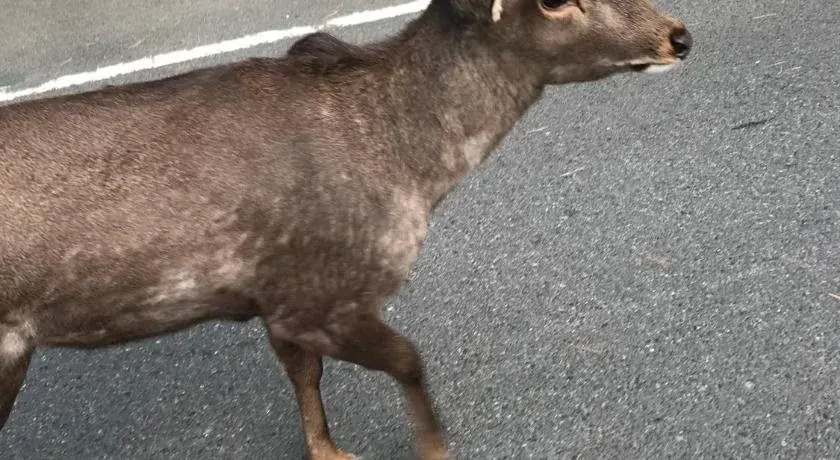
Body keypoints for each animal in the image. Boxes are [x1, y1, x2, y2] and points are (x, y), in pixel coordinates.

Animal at [0, 0, 692, 458]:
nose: (679, 35)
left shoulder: (276, 298)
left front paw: (330, 450)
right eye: (552, 1)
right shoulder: (321, 294)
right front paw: (434, 445)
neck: (414, 174)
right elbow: (409, 360)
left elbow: (306, 379)